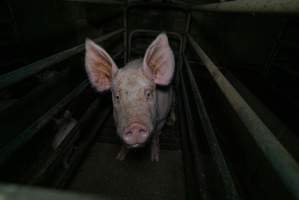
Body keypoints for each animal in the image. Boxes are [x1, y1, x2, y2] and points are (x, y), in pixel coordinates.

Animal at [85, 32, 176, 161]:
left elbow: (155, 136)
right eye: (117, 97)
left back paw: (172, 122)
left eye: (148, 94)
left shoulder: (161, 119)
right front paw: (119, 157)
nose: (135, 126)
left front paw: (154, 159)